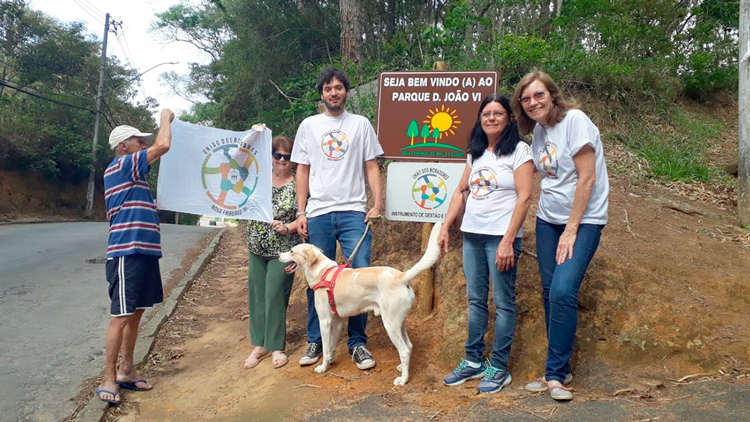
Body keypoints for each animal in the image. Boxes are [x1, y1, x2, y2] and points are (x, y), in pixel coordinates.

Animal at [280, 224, 444, 386]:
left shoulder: (324, 321)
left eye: (292, 251)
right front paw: (331, 361)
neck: (324, 273)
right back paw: (401, 368)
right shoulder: (338, 320)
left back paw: (403, 379)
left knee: (404, 350)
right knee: (409, 346)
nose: (278, 255)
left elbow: (326, 348)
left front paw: (323, 367)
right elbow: (332, 346)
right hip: (400, 322)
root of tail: (401, 276)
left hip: (390, 324)